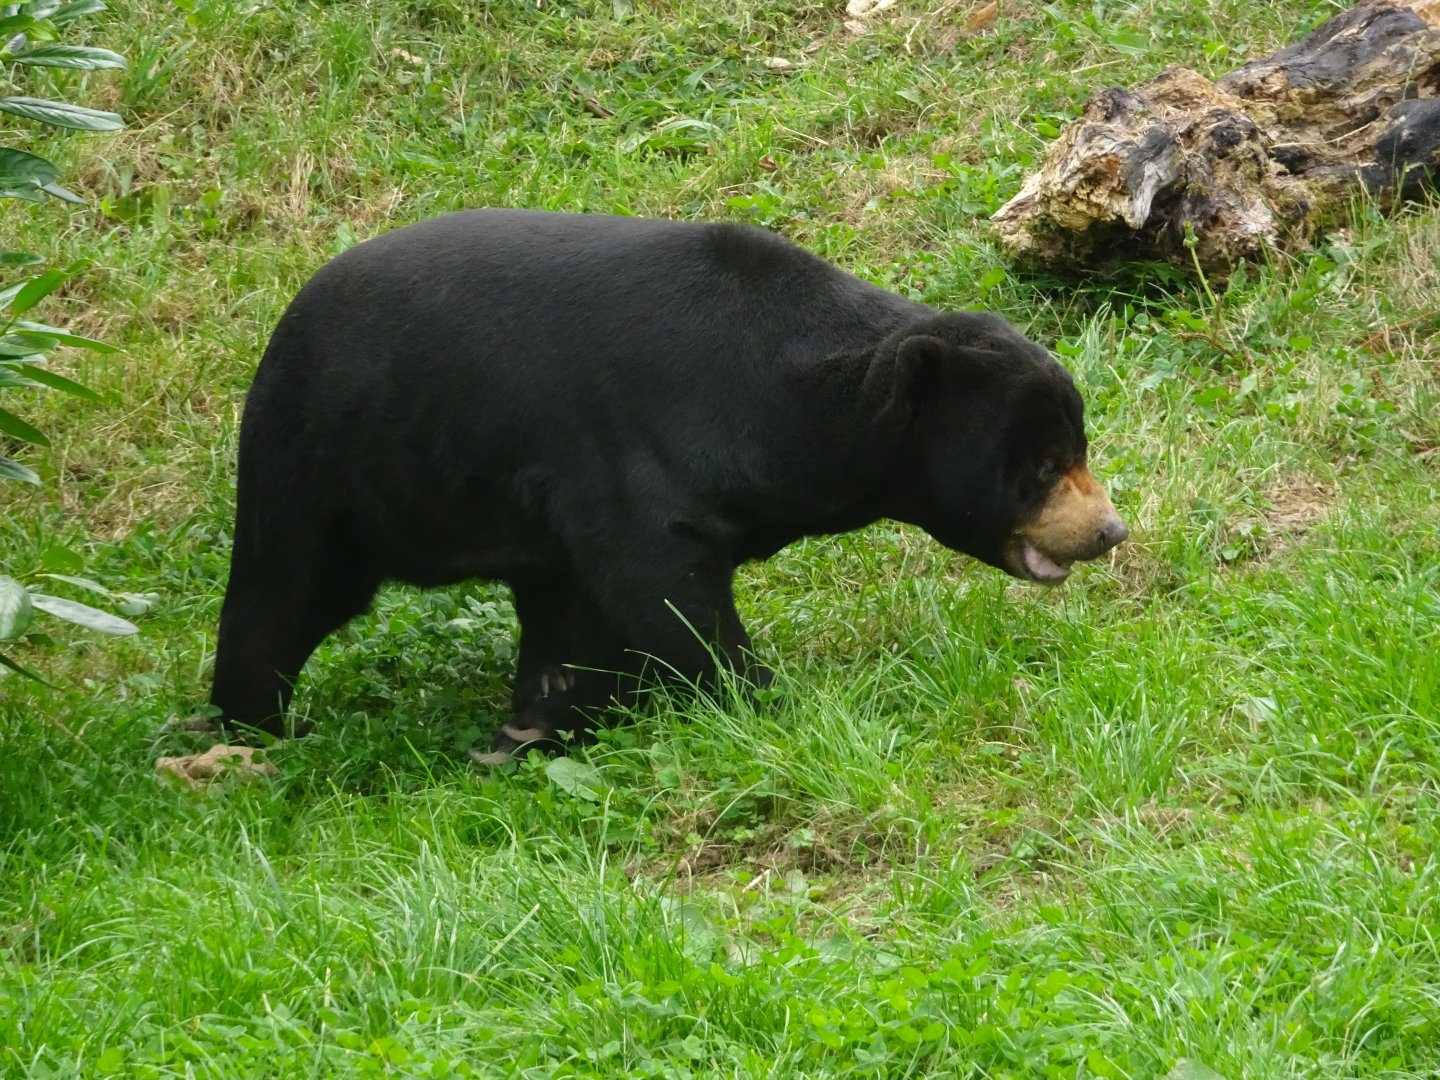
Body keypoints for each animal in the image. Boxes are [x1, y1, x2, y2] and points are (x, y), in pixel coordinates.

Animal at [208, 208, 1128, 764]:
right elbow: (663, 588)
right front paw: (762, 700)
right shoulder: (625, 454)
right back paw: (245, 728)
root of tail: (285, 324)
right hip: (326, 461)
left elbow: (585, 619)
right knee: (283, 587)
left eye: (1078, 450)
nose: (1109, 531)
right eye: (1042, 467)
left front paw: (542, 727)